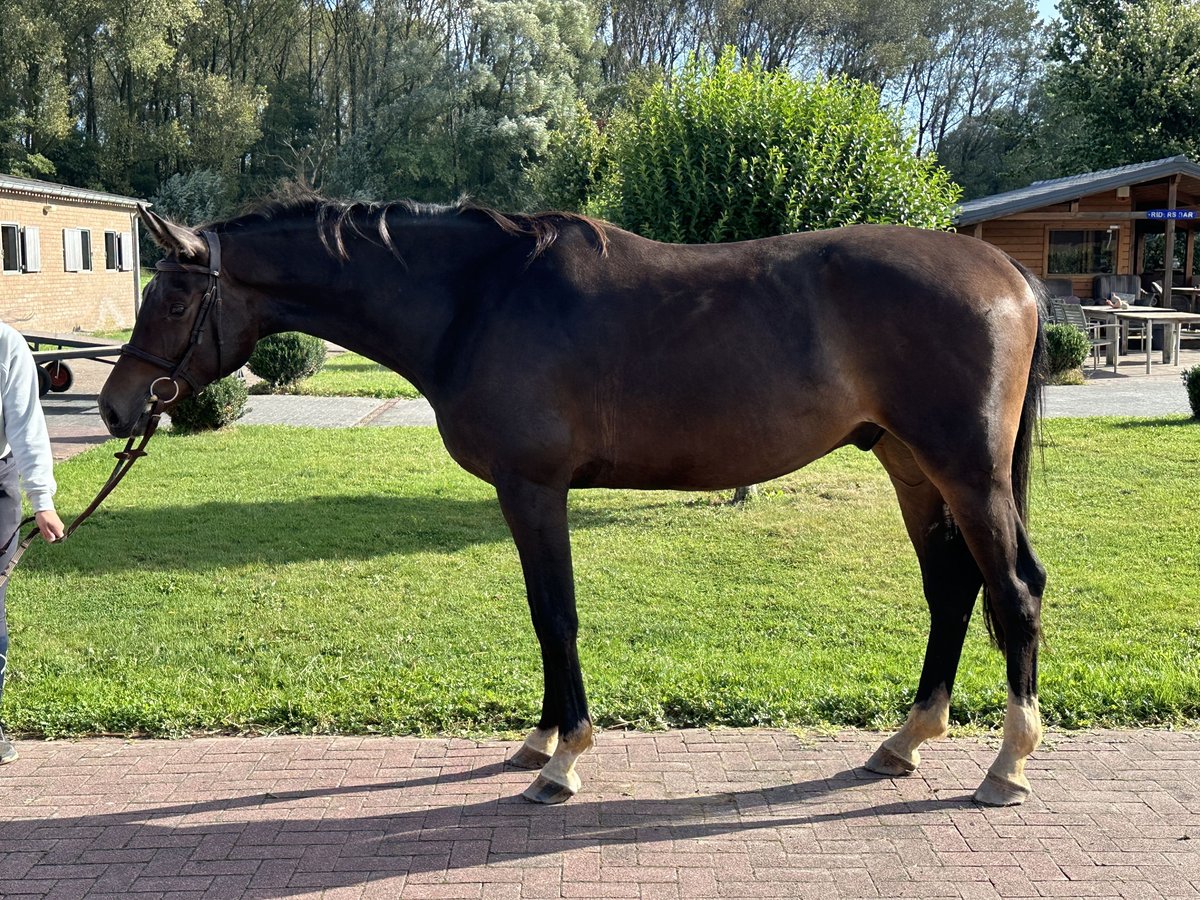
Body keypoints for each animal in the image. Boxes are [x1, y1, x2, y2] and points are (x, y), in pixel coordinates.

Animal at [98, 199, 1046, 811]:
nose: (116, 406)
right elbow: (540, 615)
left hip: (966, 471)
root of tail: (1007, 271)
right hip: (909, 465)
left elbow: (557, 615)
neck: (478, 298)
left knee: (1015, 593)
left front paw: (563, 764)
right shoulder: (522, 495)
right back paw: (905, 743)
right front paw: (543, 741)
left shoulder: (535, 487)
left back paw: (1006, 767)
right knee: (951, 590)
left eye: (174, 297)